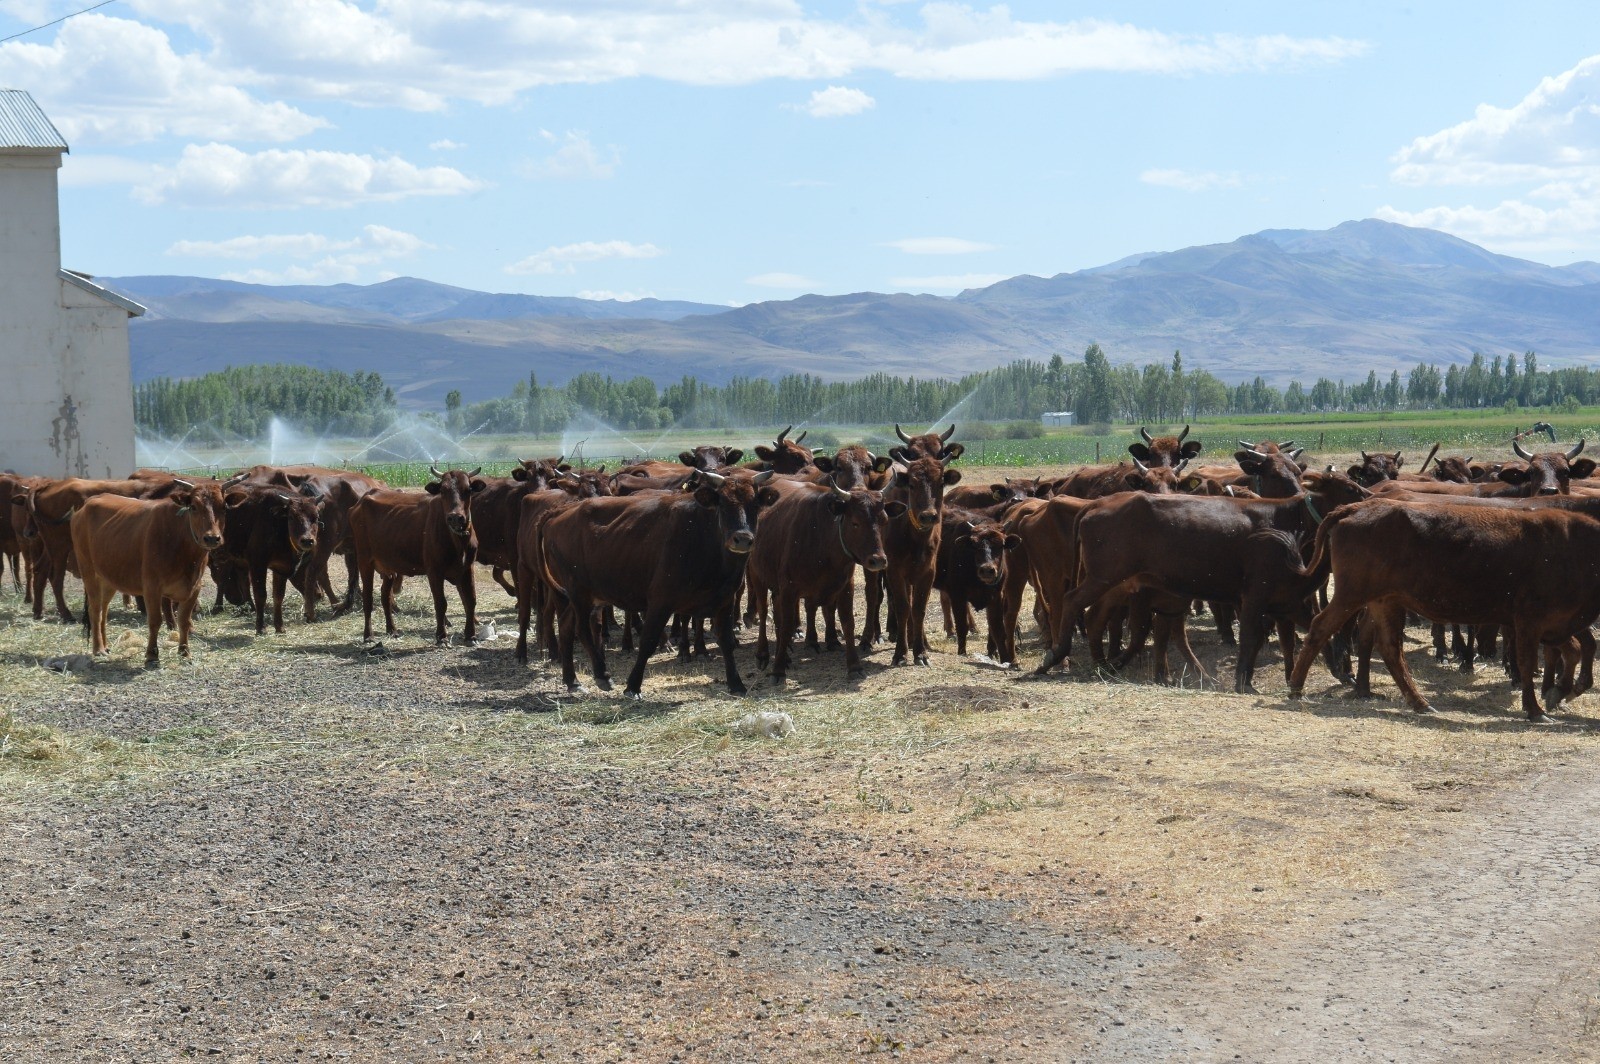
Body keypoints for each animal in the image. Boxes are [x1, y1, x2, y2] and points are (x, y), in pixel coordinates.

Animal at [72, 480, 230, 665]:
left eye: (224, 507)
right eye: (193, 507)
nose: (212, 538)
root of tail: (86, 504)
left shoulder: (194, 587)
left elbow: (184, 621)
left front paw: (185, 652)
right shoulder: (152, 587)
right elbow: (155, 620)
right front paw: (152, 654)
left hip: (109, 577)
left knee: (104, 610)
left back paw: (105, 645)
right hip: (88, 571)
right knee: (95, 610)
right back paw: (98, 649)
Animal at [537, 470, 780, 694]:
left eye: (754, 503)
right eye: (723, 503)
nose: (742, 539)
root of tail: (559, 513)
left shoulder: (725, 601)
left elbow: (727, 642)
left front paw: (736, 683)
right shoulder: (660, 600)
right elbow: (648, 641)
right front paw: (633, 685)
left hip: (583, 596)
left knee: (566, 627)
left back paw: (572, 680)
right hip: (579, 592)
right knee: (582, 630)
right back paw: (602, 675)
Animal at [745, 473, 902, 675]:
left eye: (884, 521)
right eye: (855, 522)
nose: (878, 560)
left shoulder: (845, 586)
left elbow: (847, 622)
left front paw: (854, 665)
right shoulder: (788, 589)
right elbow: (787, 625)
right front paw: (778, 669)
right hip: (758, 576)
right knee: (764, 612)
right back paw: (763, 654)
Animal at [1286, 492, 1600, 716]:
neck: (1575, 548)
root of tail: (1356, 508)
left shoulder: (1556, 625)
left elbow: (1573, 651)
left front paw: (1559, 692)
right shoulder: (1529, 622)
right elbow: (1528, 661)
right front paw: (1535, 709)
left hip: (1384, 602)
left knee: (1388, 647)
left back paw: (1416, 701)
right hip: (1352, 596)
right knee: (1321, 627)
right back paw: (1296, 687)